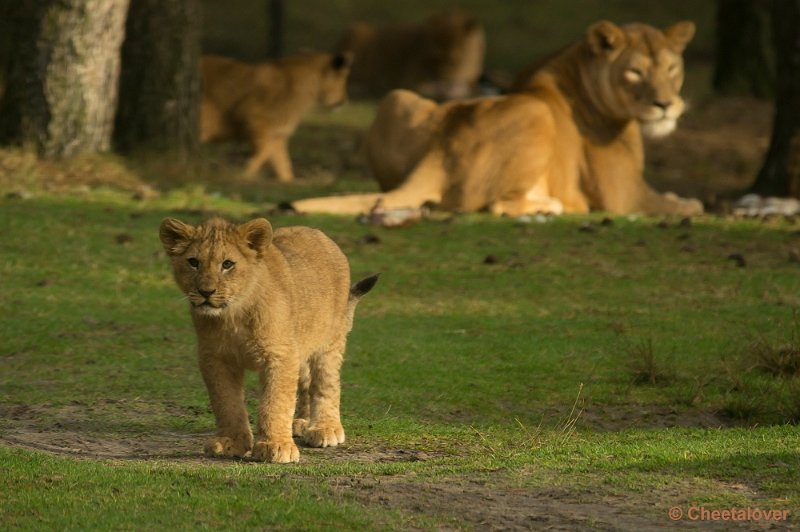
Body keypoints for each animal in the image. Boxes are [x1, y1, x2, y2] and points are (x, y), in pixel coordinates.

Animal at [199, 51, 350, 182]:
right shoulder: (254, 119)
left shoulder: (278, 135)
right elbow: (265, 151)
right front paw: (244, 174)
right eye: (342, 79)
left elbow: (283, 163)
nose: (343, 101)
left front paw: (288, 181)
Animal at [292, 19, 700, 217]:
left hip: (398, 98)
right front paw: (688, 203)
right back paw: (551, 206)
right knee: (498, 205)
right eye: (635, 72)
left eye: (671, 68)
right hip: (537, 114)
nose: (666, 104)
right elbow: (681, 204)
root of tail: (439, 155)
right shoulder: (623, 193)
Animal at [334, 9, 484, 100]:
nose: (446, 71)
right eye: (436, 48)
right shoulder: (409, 79)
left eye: (458, 47)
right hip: (356, 32)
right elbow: (428, 88)